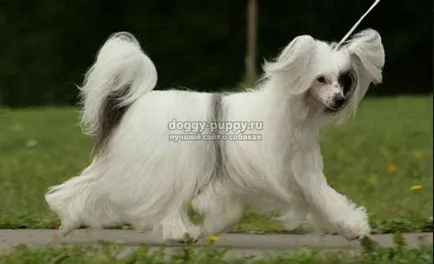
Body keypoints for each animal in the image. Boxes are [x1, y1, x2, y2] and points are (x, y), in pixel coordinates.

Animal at [45, 27, 384, 241]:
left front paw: (353, 227)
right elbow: (316, 198)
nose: (339, 100)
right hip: (160, 168)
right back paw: (180, 233)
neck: (287, 113)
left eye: (344, 80)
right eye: (320, 79)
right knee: (160, 203)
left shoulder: (300, 173)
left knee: (87, 184)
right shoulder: (275, 173)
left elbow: (324, 197)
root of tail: (131, 103)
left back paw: (69, 219)